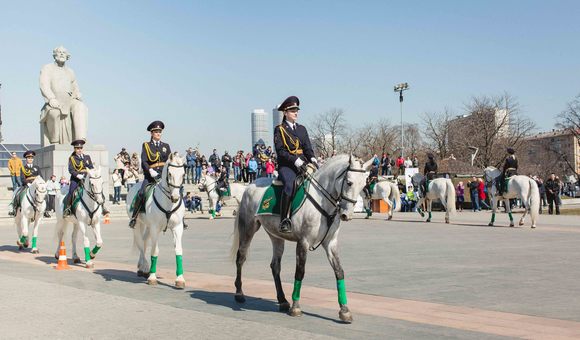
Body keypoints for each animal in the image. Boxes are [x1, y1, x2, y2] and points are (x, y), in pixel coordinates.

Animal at [127, 153, 186, 288]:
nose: (175, 197)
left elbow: (178, 251)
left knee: (144, 241)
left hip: (148, 227)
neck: (168, 203)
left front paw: (180, 279)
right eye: (170, 174)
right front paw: (152, 277)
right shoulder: (155, 228)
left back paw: (142, 267)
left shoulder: (177, 227)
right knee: (140, 244)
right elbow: (155, 251)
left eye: (183, 174)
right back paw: (144, 268)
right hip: (138, 225)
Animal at [231, 155, 372, 322]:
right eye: (349, 182)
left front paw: (344, 310)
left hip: (276, 236)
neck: (322, 199)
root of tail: (249, 186)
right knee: (241, 257)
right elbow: (300, 272)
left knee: (275, 265)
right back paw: (239, 293)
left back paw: (282, 300)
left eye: (363, 184)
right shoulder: (303, 242)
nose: (347, 215)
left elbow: (339, 271)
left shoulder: (330, 243)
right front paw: (296, 307)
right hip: (248, 228)